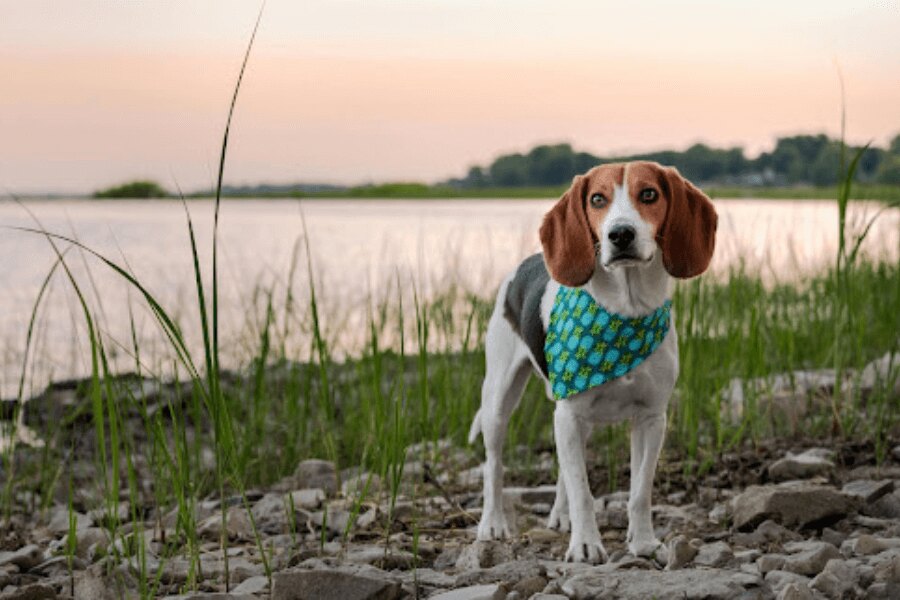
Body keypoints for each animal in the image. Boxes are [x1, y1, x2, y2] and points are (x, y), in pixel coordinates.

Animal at [468, 159, 712, 564]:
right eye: (598, 199)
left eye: (649, 194)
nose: (621, 234)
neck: (625, 312)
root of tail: (528, 262)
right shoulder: (569, 414)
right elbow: (583, 491)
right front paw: (585, 545)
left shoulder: (651, 418)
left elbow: (639, 491)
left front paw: (643, 542)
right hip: (499, 400)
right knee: (494, 464)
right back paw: (493, 524)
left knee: (566, 470)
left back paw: (560, 516)